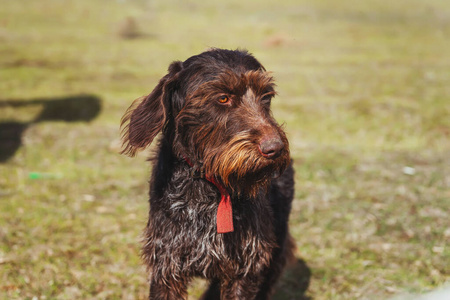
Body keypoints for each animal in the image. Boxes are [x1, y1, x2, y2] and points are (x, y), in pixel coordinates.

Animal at [119, 48, 296, 298]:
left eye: (266, 96)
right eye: (223, 98)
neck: (207, 187)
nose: (275, 148)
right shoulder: (166, 264)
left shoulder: (247, 268)